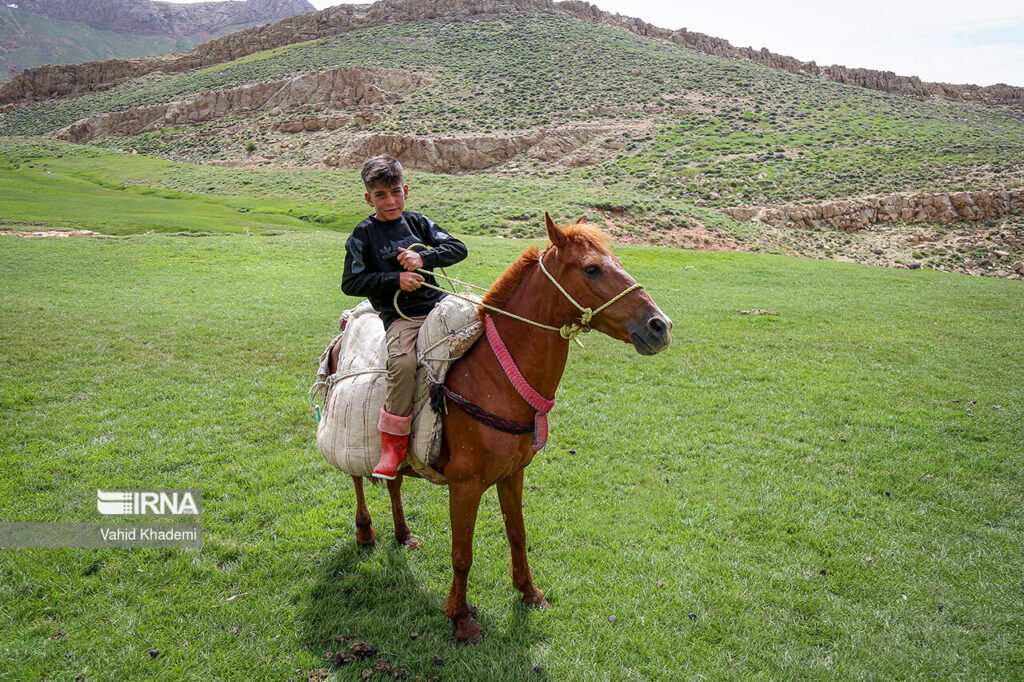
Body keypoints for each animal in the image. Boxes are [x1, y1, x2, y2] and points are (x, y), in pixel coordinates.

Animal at [337, 214, 671, 643]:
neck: (494, 379)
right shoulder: (465, 485)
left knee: (392, 478)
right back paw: (365, 532)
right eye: (593, 268)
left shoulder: (513, 475)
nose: (660, 326)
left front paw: (530, 593)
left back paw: (403, 534)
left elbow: (518, 534)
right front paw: (461, 620)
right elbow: (462, 555)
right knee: (357, 478)